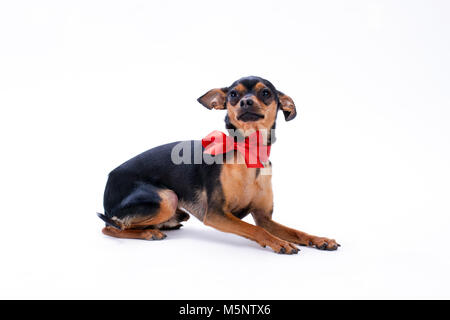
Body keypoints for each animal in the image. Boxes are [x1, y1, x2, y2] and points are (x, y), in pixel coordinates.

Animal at [97, 76, 338, 254]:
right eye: (233, 94)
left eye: (266, 93)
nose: (245, 101)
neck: (249, 152)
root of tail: (109, 179)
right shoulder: (216, 214)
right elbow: (255, 230)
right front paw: (279, 242)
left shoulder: (264, 218)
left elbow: (296, 231)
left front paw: (319, 239)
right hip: (167, 198)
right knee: (110, 227)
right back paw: (148, 233)